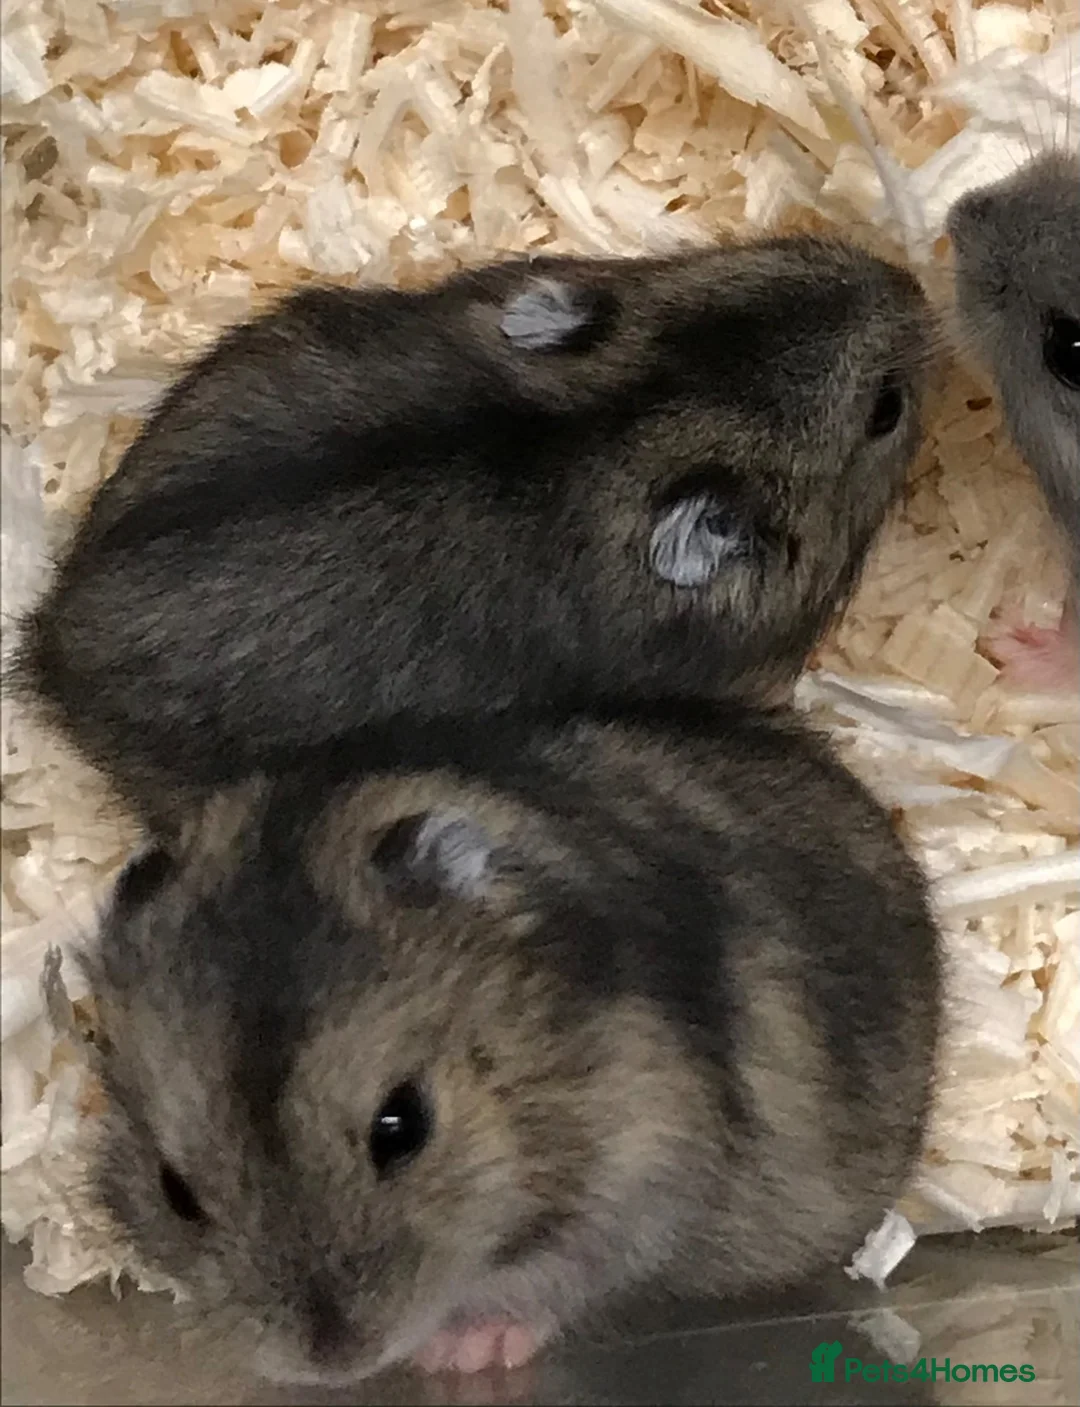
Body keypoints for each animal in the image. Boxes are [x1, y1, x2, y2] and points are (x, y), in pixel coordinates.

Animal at [82, 700, 942, 1384]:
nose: (335, 1363)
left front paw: (460, 1353)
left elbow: (561, 1274)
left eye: (402, 1125)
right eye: (174, 1191)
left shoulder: (646, 1174)